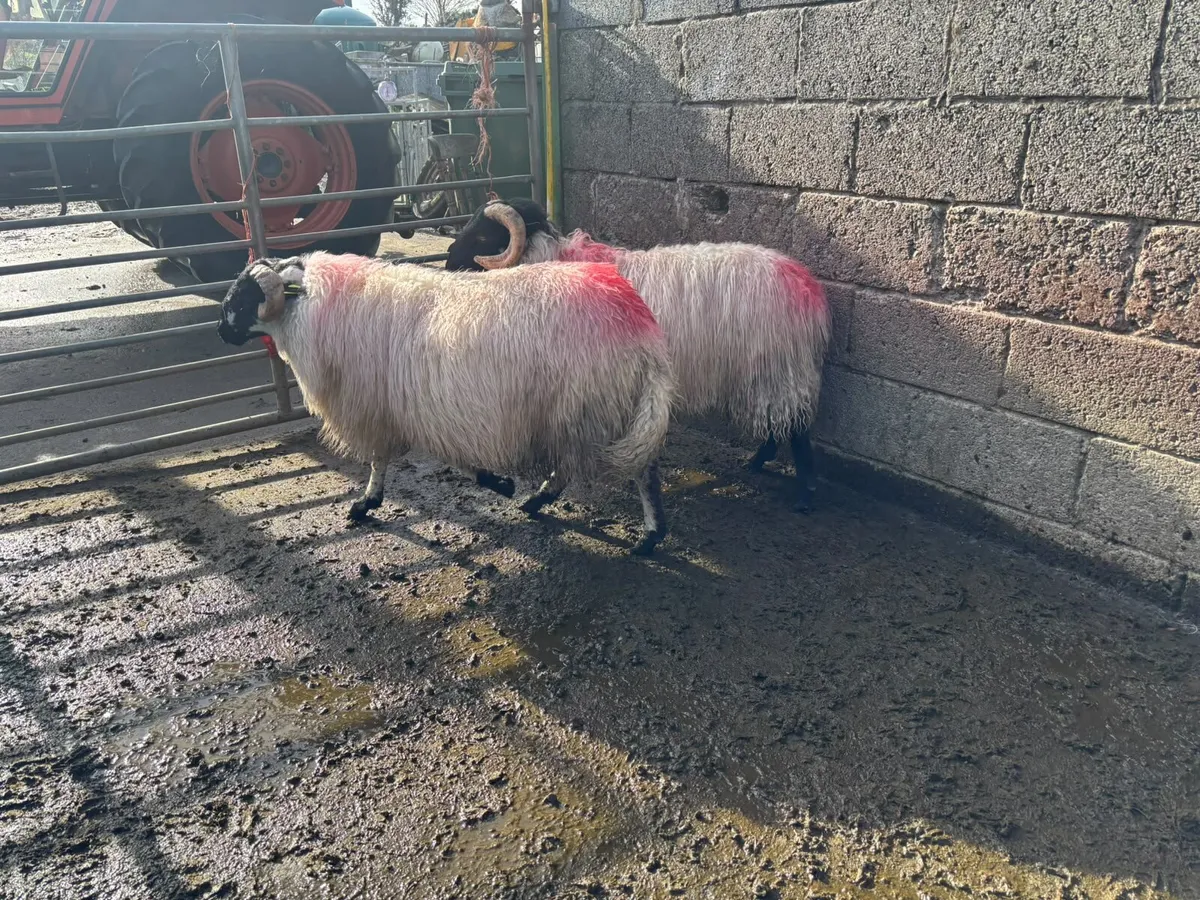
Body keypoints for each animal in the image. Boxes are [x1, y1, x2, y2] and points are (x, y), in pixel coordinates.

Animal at [216, 242, 675, 555]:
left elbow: (384, 459)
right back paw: (540, 501)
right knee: (595, 466)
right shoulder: (419, 409)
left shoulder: (386, 408)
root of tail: (641, 330)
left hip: (584, 408)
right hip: (585, 411)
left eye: (246, 295)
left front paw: (366, 502)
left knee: (636, 471)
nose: (220, 331)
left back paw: (648, 535)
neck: (312, 309)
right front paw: (498, 482)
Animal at [445, 199, 831, 512]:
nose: (447, 261)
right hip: (768, 370)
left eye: (483, 238)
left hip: (779, 365)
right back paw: (758, 461)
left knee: (796, 427)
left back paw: (805, 495)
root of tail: (807, 285)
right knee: (781, 423)